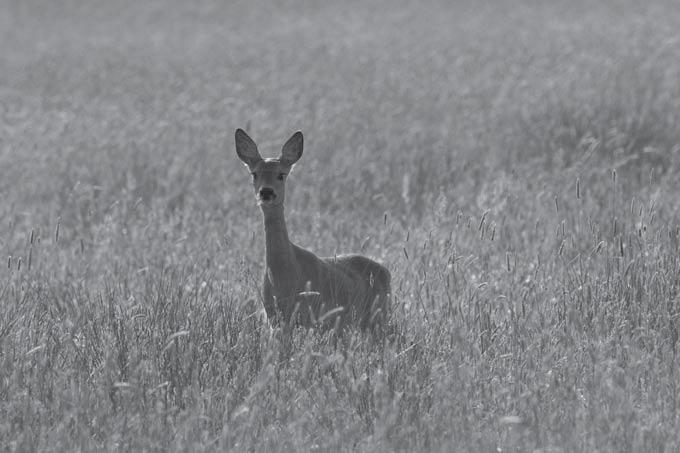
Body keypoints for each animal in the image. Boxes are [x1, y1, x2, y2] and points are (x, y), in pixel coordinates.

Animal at [235, 128, 390, 332]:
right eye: (254, 174)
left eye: (281, 174)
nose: (266, 192)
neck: (285, 274)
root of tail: (386, 271)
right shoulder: (275, 320)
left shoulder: (312, 316)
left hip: (377, 319)